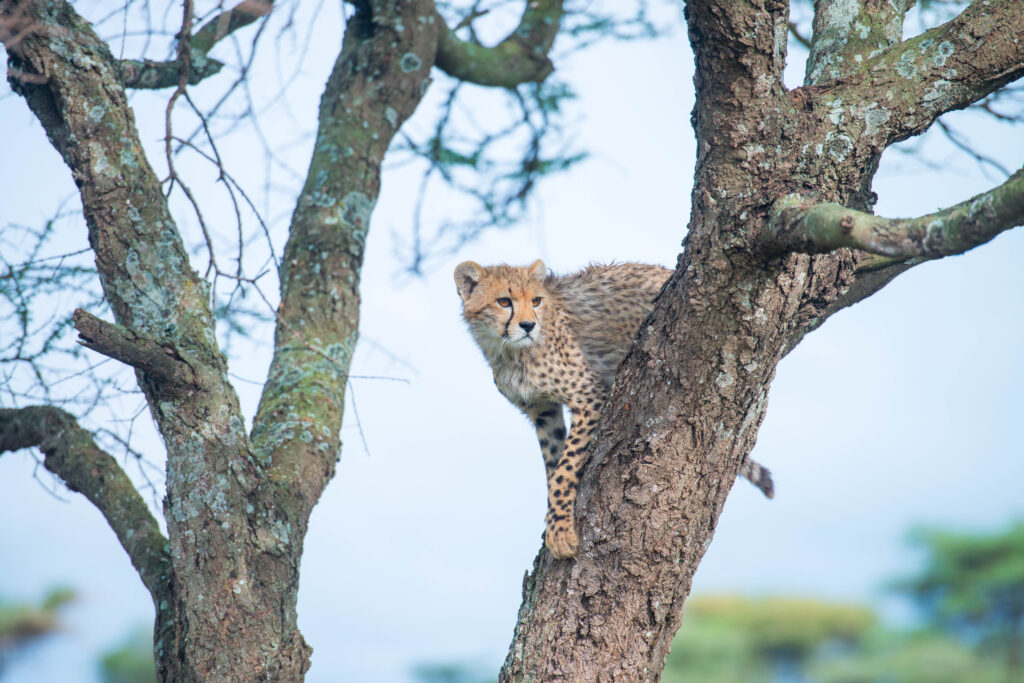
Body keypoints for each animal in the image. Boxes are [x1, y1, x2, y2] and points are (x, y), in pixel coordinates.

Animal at [452, 259, 770, 557]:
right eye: (504, 302)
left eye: (536, 301)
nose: (528, 326)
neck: (510, 351)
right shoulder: (543, 412)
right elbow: (553, 464)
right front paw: (554, 521)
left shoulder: (590, 395)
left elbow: (564, 469)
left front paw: (560, 530)